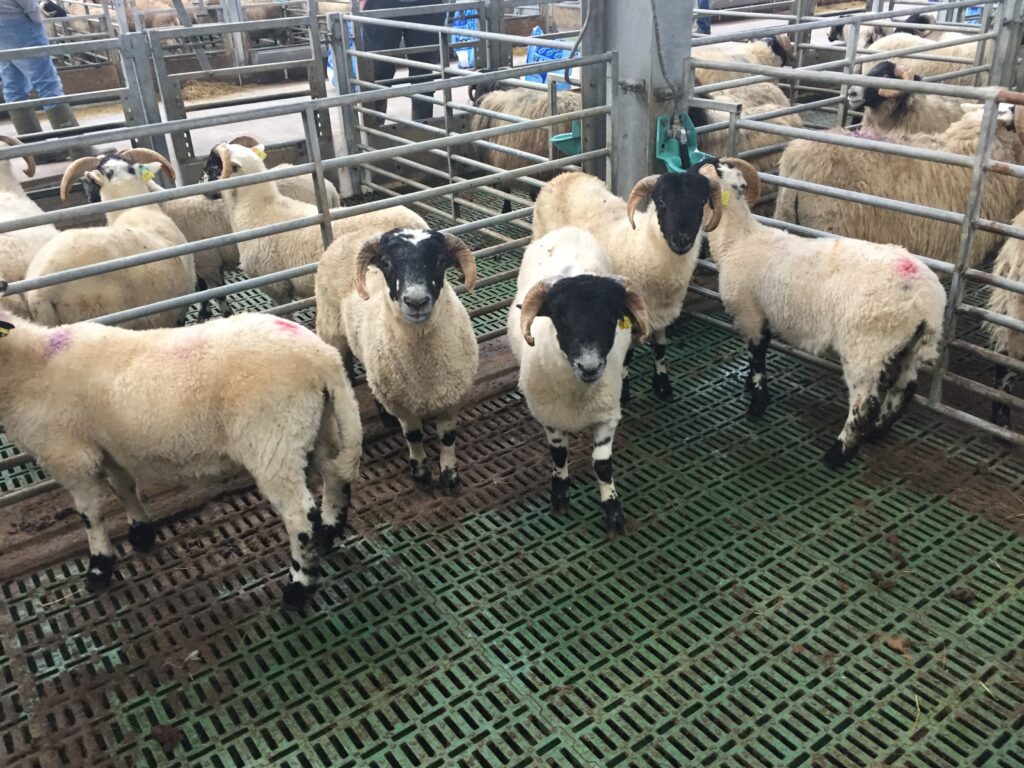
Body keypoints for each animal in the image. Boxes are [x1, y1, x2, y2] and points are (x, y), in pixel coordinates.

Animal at [0, 309, 362, 610]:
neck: (31, 365)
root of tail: (323, 358)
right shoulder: (111, 446)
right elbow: (125, 488)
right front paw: (141, 533)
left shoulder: (71, 457)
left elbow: (90, 515)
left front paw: (99, 568)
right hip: (318, 427)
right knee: (335, 477)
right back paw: (329, 534)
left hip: (273, 441)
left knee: (299, 515)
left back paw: (298, 587)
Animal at [316, 217, 479, 494]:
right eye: (386, 262)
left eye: (440, 261)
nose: (416, 301)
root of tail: (350, 235)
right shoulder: (402, 404)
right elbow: (413, 437)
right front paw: (421, 473)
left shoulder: (452, 398)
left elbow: (447, 438)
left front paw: (450, 477)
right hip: (333, 335)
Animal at [506, 226, 650, 533]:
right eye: (559, 316)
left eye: (613, 316)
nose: (589, 366)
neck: (577, 394)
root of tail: (567, 229)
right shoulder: (550, 416)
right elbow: (559, 455)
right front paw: (560, 496)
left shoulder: (607, 416)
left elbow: (602, 465)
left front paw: (613, 512)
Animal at [532, 167, 719, 403]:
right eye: (661, 201)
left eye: (701, 201)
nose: (682, 240)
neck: (641, 247)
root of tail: (565, 175)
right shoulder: (626, 309)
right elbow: (627, 355)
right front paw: (624, 391)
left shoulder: (660, 311)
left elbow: (660, 348)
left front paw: (663, 385)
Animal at [703, 157, 947, 468]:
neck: (737, 240)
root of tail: (925, 300)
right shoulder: (763, 313)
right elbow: (759, 352)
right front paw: (749, 386)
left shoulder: (750, 313)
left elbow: (757, 357)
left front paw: (757, 404)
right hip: (908, 346)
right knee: (904, 389)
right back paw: (877, 433)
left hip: (866, 344)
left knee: (864, 402)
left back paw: (839, 453)